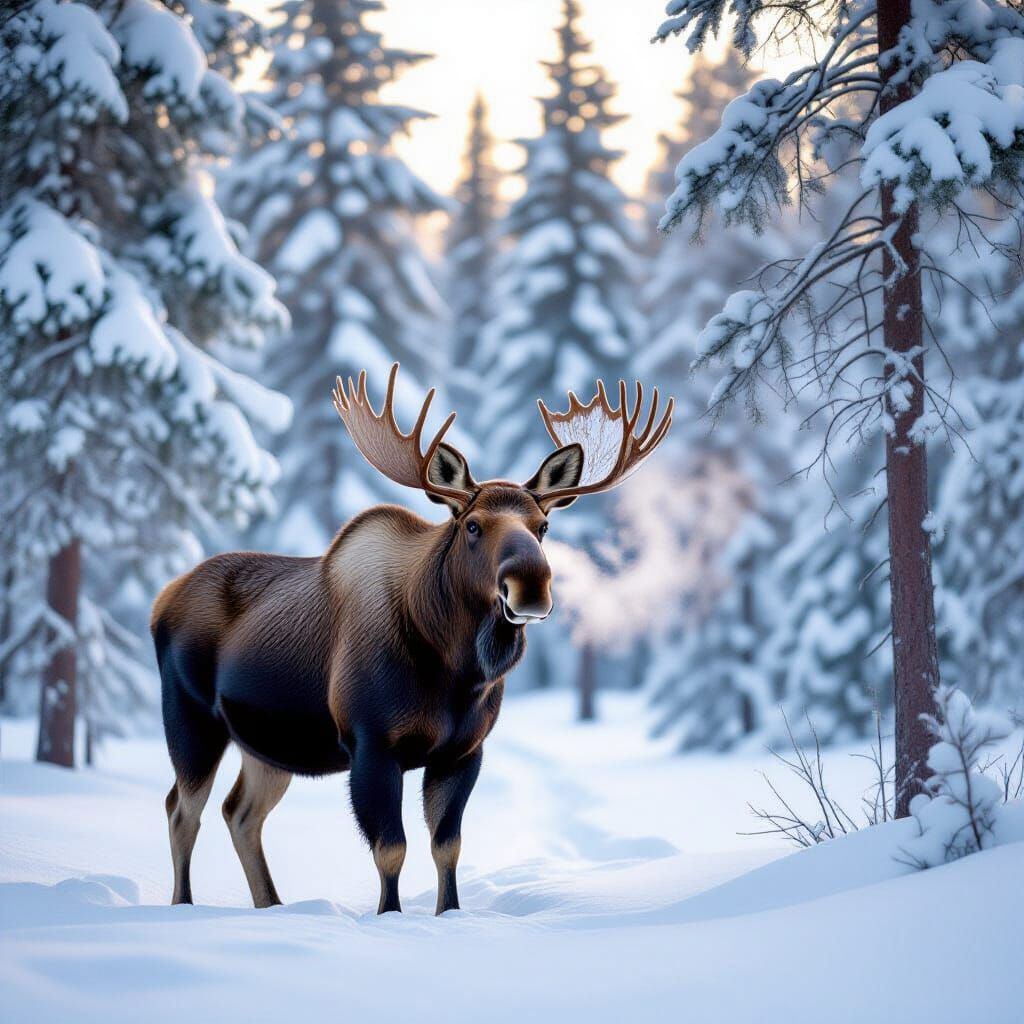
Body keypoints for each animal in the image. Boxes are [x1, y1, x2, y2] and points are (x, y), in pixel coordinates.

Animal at [152, 363, 672, 915]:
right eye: (472, 524)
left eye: (544, 525)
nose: (530, 583)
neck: (455, 670)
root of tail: (162, 598)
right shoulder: (372, 743)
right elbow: (390, 849)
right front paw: (390, 915)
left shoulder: (462, 751)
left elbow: (447, 846)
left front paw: (450, 913)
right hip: (191, 718)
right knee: (182, 809)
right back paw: (183, 905)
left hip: (268, 744)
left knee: (240, 812)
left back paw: (271, 905)